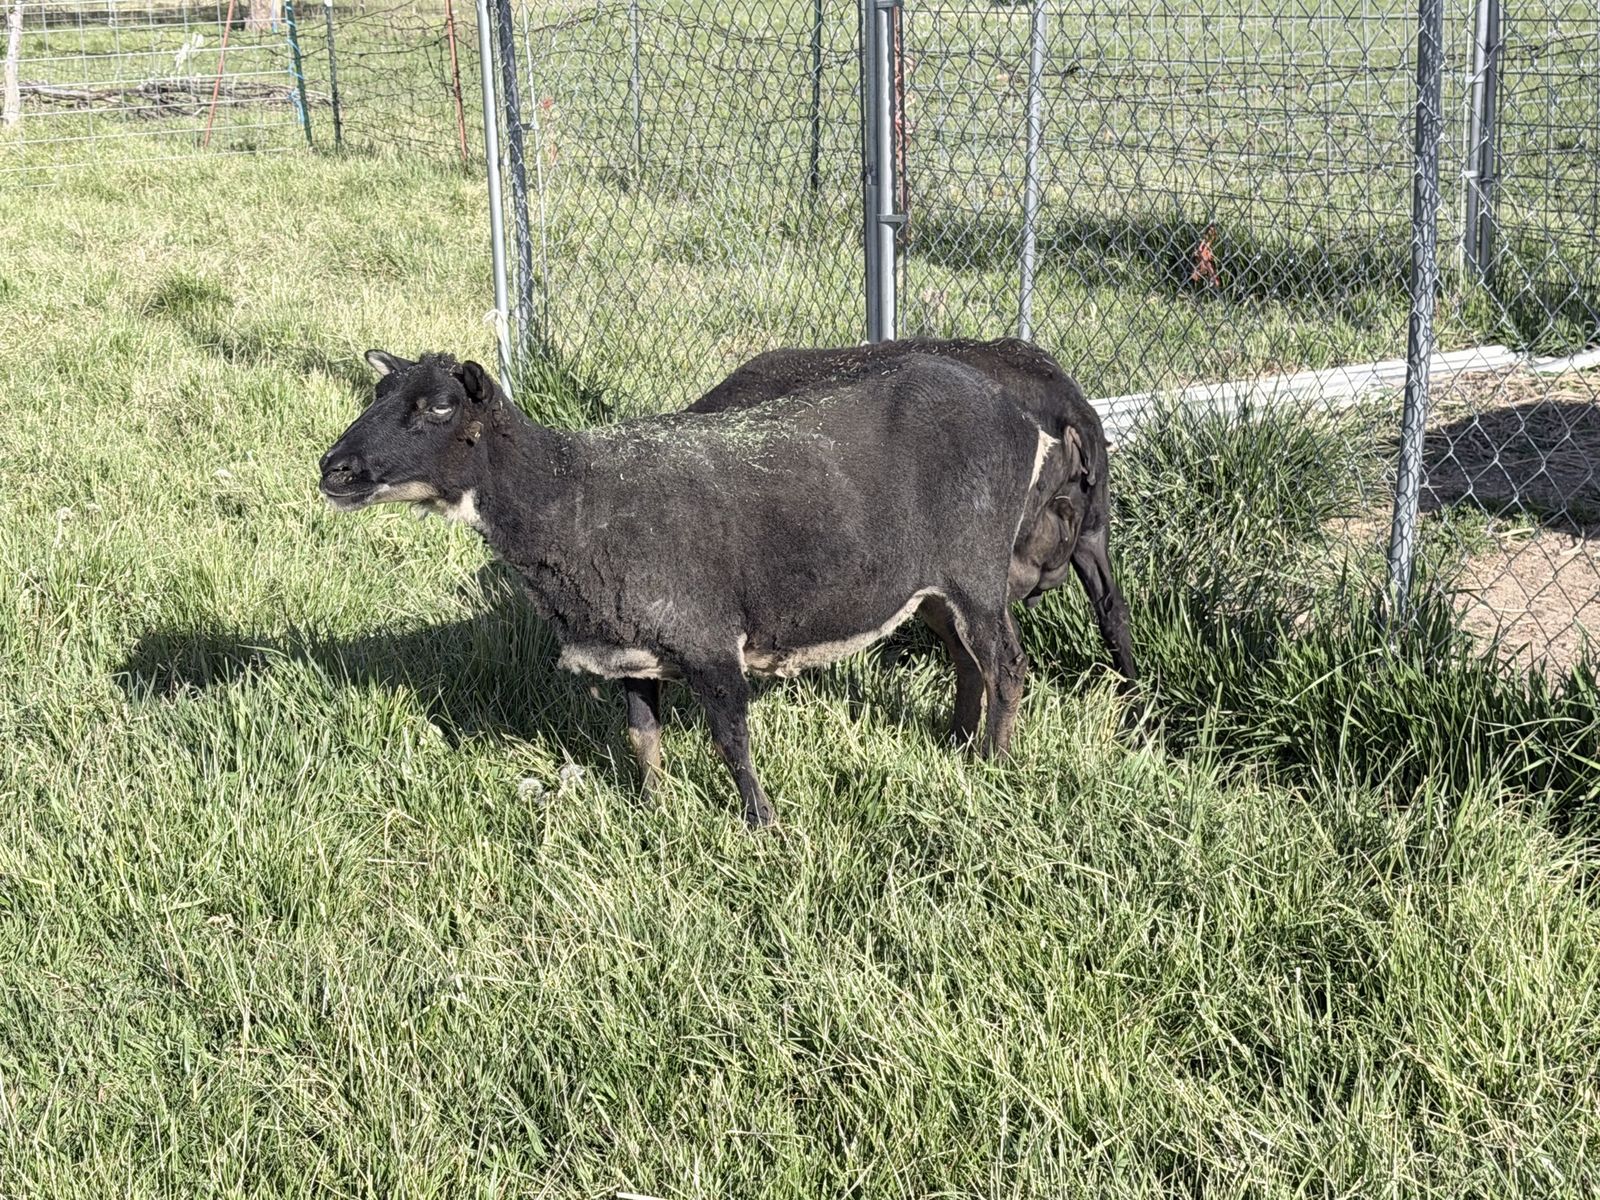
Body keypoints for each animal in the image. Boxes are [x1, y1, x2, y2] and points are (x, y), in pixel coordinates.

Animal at [320, 350, 1058, 826]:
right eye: (377, 397)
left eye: (440, 407)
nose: (334, 470)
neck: (572, 499)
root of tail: (1024, 419)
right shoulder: (630, 651)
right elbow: (642, 737)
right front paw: (653, 811)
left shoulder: (706, 637)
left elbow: (731, 741)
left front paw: (762, 825)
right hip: (932, 586)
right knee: (966, 661)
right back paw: (957, 746)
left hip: (976, 566)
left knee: (1006, 664)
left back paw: (993, 764)